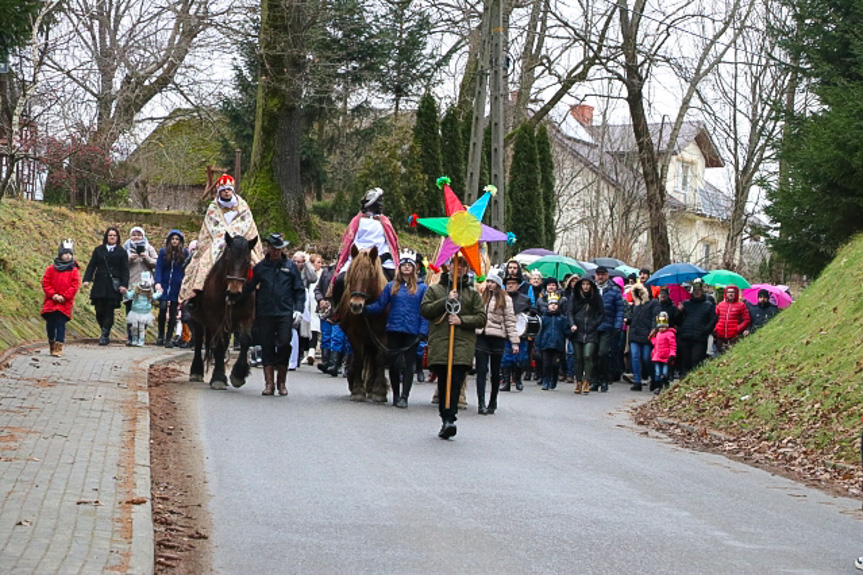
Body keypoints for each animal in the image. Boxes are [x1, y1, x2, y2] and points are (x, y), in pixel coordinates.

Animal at [189, 234, 256, 392]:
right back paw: (196, 371)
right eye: (228, 260)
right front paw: (218, 378)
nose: (233, 292)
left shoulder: (247, 318)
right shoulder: (215, 319)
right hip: (198, 320)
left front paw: (238, 375)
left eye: (248, 262)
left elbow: (245, 340)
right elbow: (219, 345)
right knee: (199, 341)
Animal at [340, 245, 390, 402]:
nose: (356, 305)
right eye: (351, 274)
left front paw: (379, 391)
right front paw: (357, 390)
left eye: (370, 276)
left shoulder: (383, 335)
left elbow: (380, 360)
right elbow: (359, 360)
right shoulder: (354, 335)